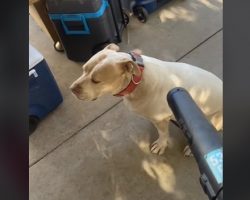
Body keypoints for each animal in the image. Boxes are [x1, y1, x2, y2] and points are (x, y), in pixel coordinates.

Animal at [69, 43, 222, 155]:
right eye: (83, 69)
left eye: (96, 80)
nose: (72, 89)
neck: (136, 80)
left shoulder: (160, 119)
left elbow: (163, 133)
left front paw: (161, 144)